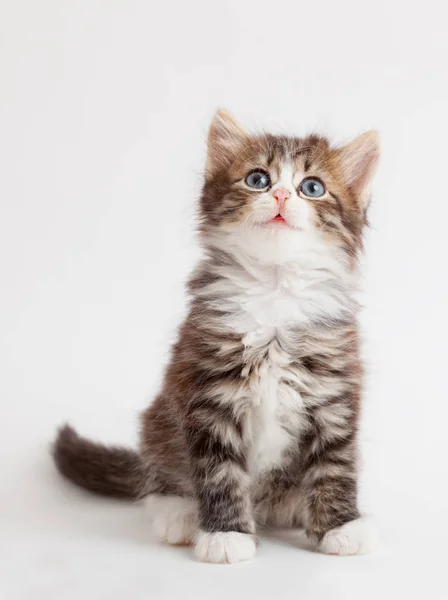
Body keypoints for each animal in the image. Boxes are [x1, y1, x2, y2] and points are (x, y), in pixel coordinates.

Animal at [54, 110, 380, 564]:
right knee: (159, 476)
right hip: (159, 422)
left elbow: (334, 465)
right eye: (258, 179)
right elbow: (219, 472)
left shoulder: (332, 394)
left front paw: (340, 527)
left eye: (312, 187)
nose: (282, 195)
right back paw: (179, 514)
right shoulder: (209, 397)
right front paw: (226, 534)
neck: (274, 290)